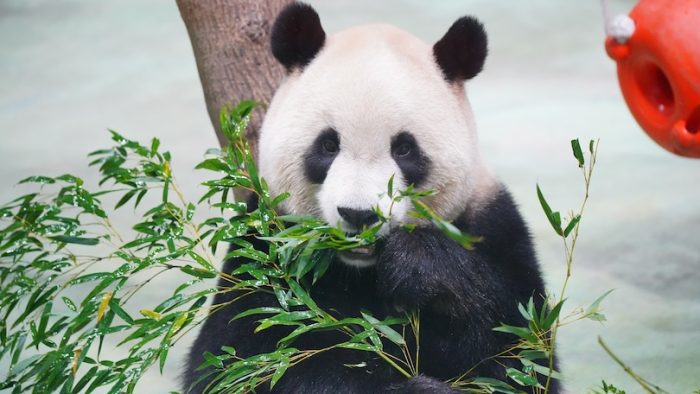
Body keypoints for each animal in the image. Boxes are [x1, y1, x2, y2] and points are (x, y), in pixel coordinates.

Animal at [185, 3, 556, 394]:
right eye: (328, 145)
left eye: (404, 149)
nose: (358, 214)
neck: (360, 269)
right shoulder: (265, 252)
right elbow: (242, 359)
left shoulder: (494, 229)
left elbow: (518, 353)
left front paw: (417, 265)